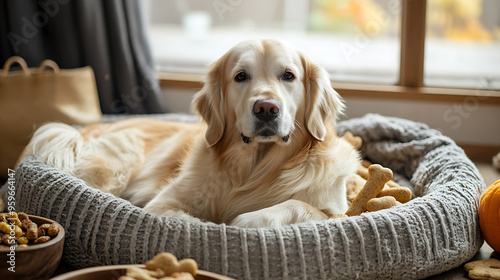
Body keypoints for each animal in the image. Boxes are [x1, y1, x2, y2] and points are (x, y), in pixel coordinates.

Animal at [18, 39, 360, 228]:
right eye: (241, 76)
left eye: (288, 75)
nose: (266, 108)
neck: (254, 169)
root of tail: (89, 127)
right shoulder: (162, 204)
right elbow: (192, 219)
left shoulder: (339, 213)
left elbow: (301, 206)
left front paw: (250, 219)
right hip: (114, 164)